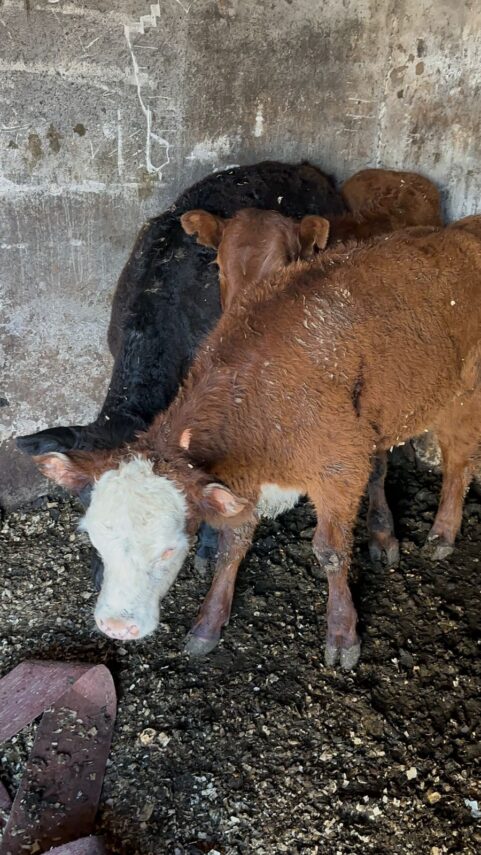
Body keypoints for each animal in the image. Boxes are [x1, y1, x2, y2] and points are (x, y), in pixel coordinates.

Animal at [35, 216, 480, 668]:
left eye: (169, 550)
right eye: (95, 538)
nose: (115, 626)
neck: (257, 396)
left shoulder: (339, 467)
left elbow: (331, 552)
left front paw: (342, 634)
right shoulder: (238, 482)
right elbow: (231, 546)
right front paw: (209, 622)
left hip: (462, 397)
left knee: (458, 460)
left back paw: (442, 533)